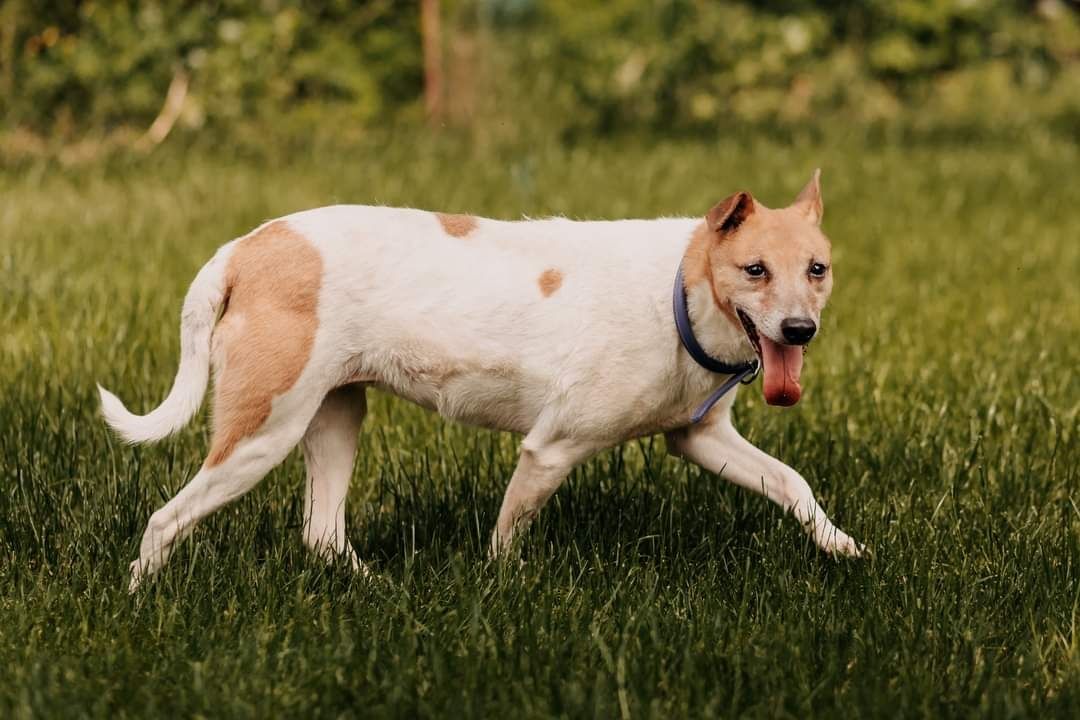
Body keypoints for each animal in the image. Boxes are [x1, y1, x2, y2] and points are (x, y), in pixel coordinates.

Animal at [101, 170, 859, 591]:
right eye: (755, 270)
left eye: (816, 270)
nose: (799, 331)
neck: (680, 288)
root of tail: (245, 249)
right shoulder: (551, 450)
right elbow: (507, 536)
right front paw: (504, 592)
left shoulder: (698, 437)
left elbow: (793, 483)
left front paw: (842, 547)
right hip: (263, 432)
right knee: (165, 519)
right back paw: (138, 598)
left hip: (335, 417)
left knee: (322, 535)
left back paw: (377, 591)